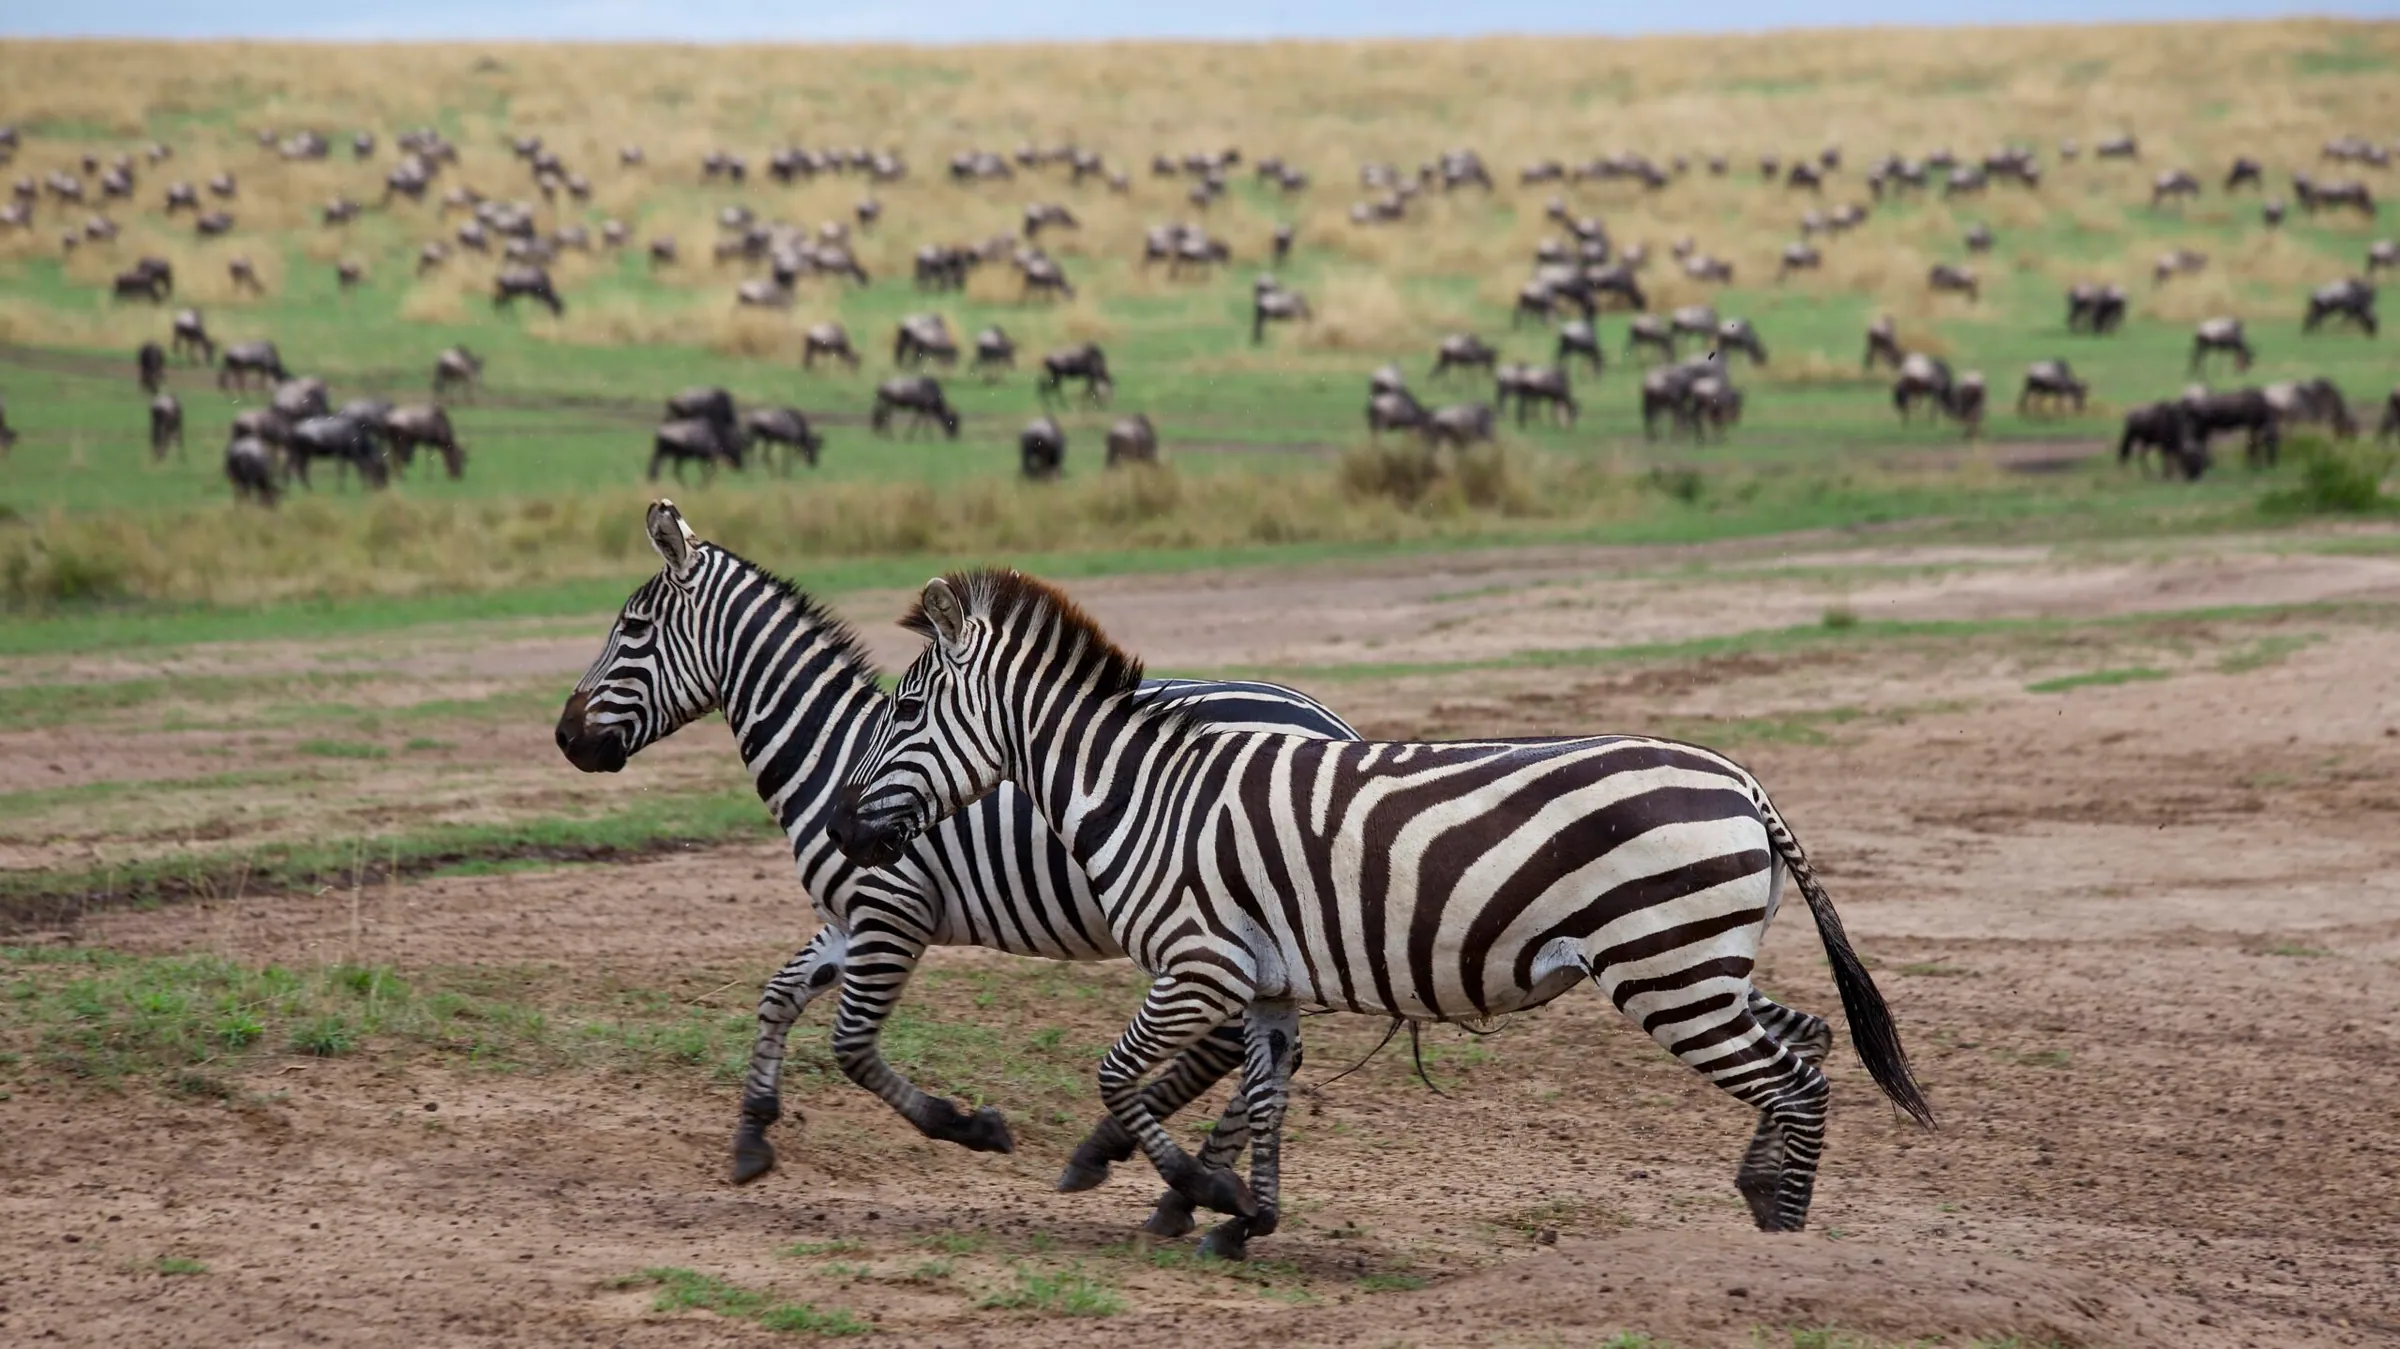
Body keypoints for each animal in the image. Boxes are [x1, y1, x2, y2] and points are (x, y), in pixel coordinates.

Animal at [553, 503, 1360, 1235]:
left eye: (631, 630)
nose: (564, 738)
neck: (831, 754)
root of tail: (1331, 721)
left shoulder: (891, 911)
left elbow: (852, 1047)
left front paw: (969, 1126)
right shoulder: (848, 919)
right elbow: (778, 996)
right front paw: (752, 1133)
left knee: (1237, 1044)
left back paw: (1148, 1172)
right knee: (1265, 1051)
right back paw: (1174, 1184)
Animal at [829, 570, 1936, 1260]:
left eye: (907, 710)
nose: (838, 824)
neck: (1143, 792)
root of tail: (1743, 781)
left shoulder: (1199, 962)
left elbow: (1114, 1075)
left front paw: (1203, 1191)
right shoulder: (1265, 981)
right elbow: (1265, 1095)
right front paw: (1248, 1217)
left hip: (1666, 971)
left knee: (1795, 1078)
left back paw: (1785, 1237)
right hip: (1697, 961)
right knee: (1808, 1038)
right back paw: (1761, 1192)